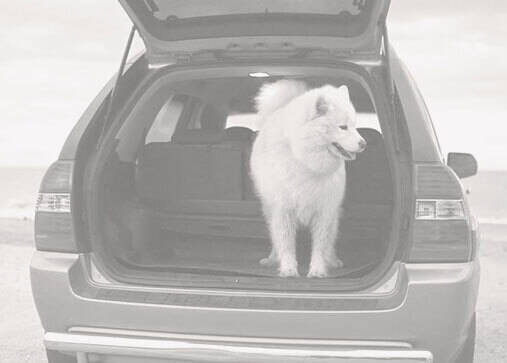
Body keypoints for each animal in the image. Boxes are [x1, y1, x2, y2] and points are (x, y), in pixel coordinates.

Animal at [252, 80, 368, 278]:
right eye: (343, 127)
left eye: (354, 126)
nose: (363, 144)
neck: (306, 162)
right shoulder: (283, 210)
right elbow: (286, 243)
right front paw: (288, 269)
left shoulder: (325, 210)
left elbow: (321, 245)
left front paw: (318, 270)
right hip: (269, 209)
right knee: (274, 238)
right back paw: (273, 258)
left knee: (330, 240)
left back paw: (332, 260)